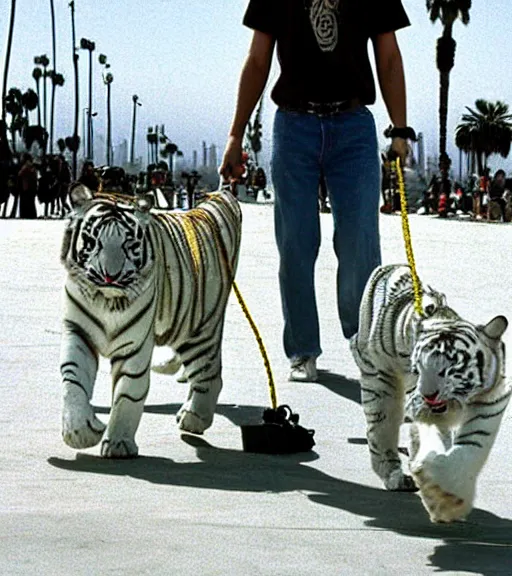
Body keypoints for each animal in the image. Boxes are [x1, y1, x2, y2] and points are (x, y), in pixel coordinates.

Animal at [59, 186, 243, 460]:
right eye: (93, 242)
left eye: (129, 244)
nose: (110, 277)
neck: (106, 300)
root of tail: (219, 196)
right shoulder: (78, 332)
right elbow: (73, 380)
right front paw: (80, 432)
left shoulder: (134, 345)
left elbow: (129, 392)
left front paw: (118, 443)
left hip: (199, 327)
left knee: (209, 372)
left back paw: (194, 417)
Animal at [350, 264, 510, 520]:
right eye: (419, 368)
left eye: (449, 369)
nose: (428, 395)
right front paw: (439, 496)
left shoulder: (491, 401)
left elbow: (471, 449)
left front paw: (449, 499)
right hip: (379, 381)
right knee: (381, 431)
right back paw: (395, 476)